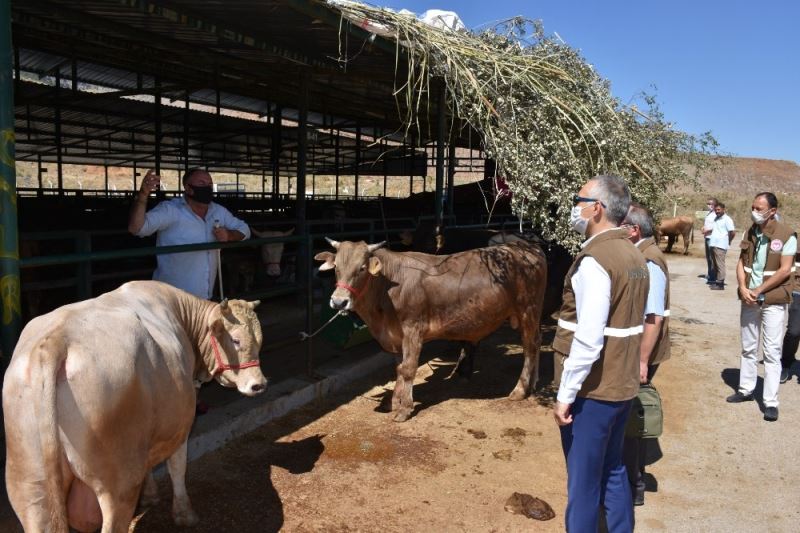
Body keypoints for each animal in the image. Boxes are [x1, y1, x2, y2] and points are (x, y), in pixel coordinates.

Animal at [1, 280, 268, 528]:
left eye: (260, 340)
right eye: (235, 340)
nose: (259, 384)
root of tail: (57, 340)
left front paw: (150, 496)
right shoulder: (180, 425)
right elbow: (177, 467)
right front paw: (185, 515)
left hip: (29, 485)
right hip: (118, 485)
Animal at [316, 239, 548, 422]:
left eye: (362, 268)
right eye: (336, 267)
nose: (339, 301)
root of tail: (527, 246)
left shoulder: (413, 330)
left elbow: (408, 368)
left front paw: (405, 408)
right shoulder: (396, 336)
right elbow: (399, 368)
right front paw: (394, 401)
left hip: (529, 310)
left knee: (530, 346)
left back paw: (520, 390)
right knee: (535, 344)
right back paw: (533, 383)